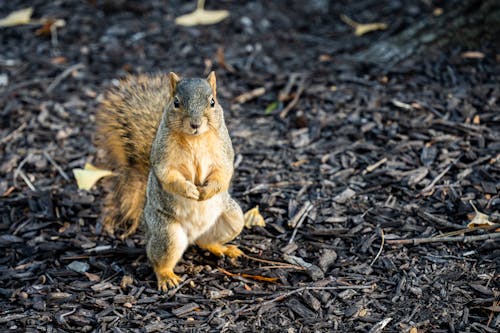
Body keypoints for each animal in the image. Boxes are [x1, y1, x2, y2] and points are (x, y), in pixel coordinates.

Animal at [95, 71, 244, 290]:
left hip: (233, 220)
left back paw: (223, 248)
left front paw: (205, 192)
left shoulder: (224, 151)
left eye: (212, 102)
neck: (195, 138)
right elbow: (168, 175)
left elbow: (223, 172)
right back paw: (166, 277)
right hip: (167, 234)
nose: (195, 124)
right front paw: (190, 190)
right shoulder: (163, 157)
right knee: (157, 258)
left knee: (205, 242)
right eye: (176, 102)